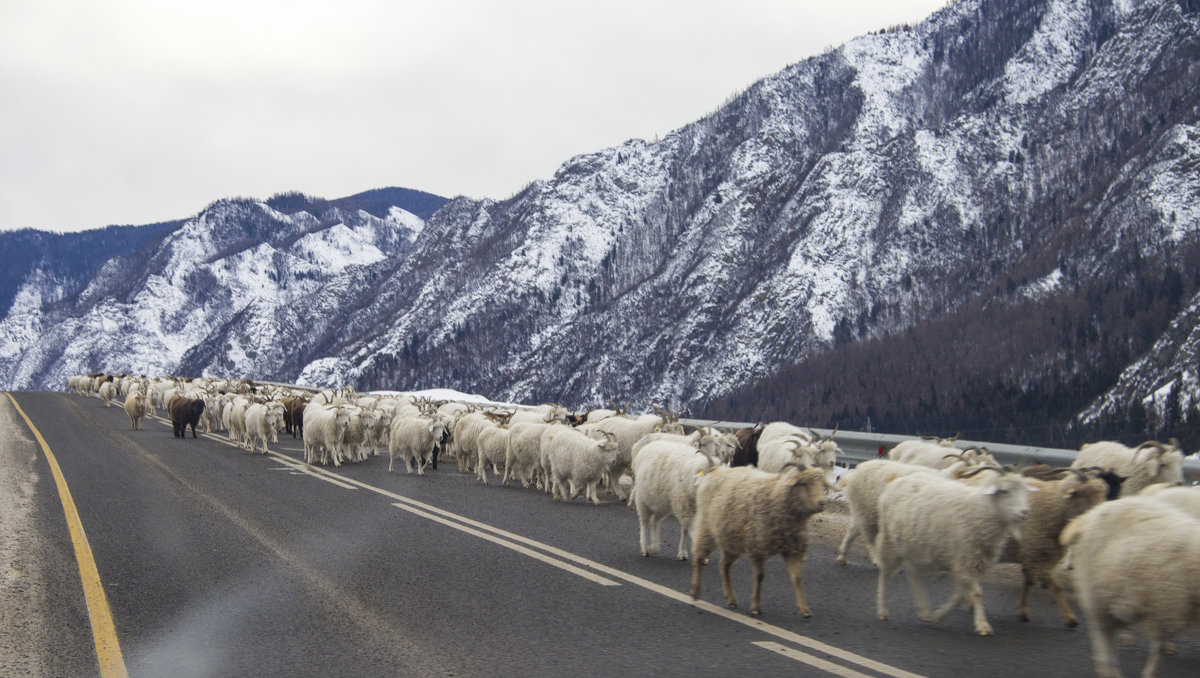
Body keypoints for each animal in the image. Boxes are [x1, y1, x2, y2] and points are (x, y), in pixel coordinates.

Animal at [691, 465, 840, 614]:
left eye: (823, 484)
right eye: (804, 483)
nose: (822, 503)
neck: (777, 497)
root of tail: (715, 470)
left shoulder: (793, 549)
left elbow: (797, 578)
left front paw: (804, 609)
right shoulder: (756, 546)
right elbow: (760, 575)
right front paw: (756, 606)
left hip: (731, 539)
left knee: (724, 565)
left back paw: (731, 598)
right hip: (706, 527)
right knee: (698, 557)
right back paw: (695, 592)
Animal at [873, 465, 1032, 633]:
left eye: (1025, 491)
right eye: (1005, 490)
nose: (1024, 513)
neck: (981, 509)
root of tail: (896, 482)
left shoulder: (968, 562)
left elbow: (960, 595)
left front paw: (938, 615)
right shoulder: (965, 561)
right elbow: (977, 593)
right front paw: (983, 625)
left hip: (918, 547)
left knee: (913, 574)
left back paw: (924, 612)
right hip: (889, 542)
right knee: (885, 574)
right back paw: (883, 610)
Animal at [1060, 494, 1200, 672]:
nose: (1067, 566)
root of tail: (1092, 513)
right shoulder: (1166, 605)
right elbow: (1157, 648)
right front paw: (1149, 671)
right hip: (1096, 597)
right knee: (1104, 638)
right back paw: (1109, 668)